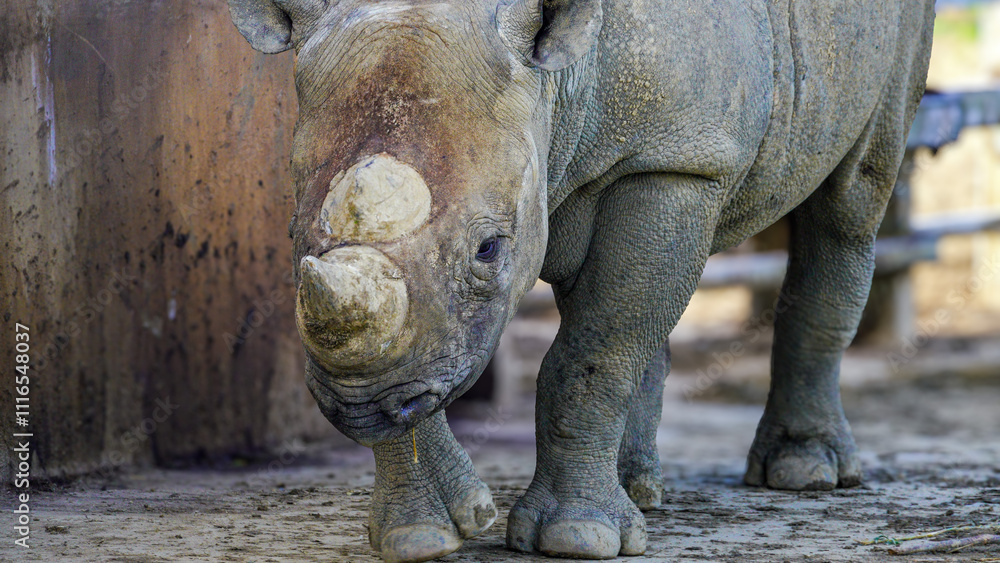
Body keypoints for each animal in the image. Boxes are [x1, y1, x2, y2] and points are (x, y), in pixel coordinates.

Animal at [228, 0, 935, 560]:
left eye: (489, 250)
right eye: (290, 238)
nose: (358, 407)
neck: (556, 87)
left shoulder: (675, 161)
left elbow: (593, 352)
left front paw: (577, 539)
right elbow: (425, 348)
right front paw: (424, 535)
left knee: (849, 201)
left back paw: (803, 472)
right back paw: (641, 493)